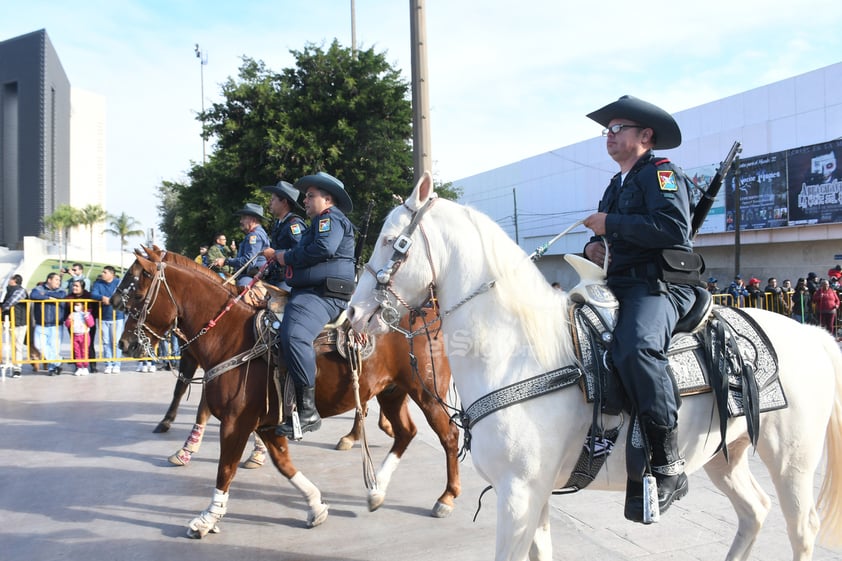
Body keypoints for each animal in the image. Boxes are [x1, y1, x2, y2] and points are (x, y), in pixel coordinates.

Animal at [113, 250, 460, 540]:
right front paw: (316, 505)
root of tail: (428, 312)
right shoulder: (268, 423)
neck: (230, 337)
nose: (124, 344)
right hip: (392, 392)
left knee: (449, 436)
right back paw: (376, 490)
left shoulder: (236, 423)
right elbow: (284, 464)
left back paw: (447, 497)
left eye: (137, 294)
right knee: (406, 432)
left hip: (427, 392)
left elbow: (225, 469)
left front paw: (207, 519)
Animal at [346, 172, 840, 560]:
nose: (352, 314)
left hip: (792, 461)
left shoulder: (518, 493)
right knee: (755, 511)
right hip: (725, 455)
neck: (518, 353)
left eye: (391, 242)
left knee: (802, 529)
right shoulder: (535, 493)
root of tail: (814, 336)